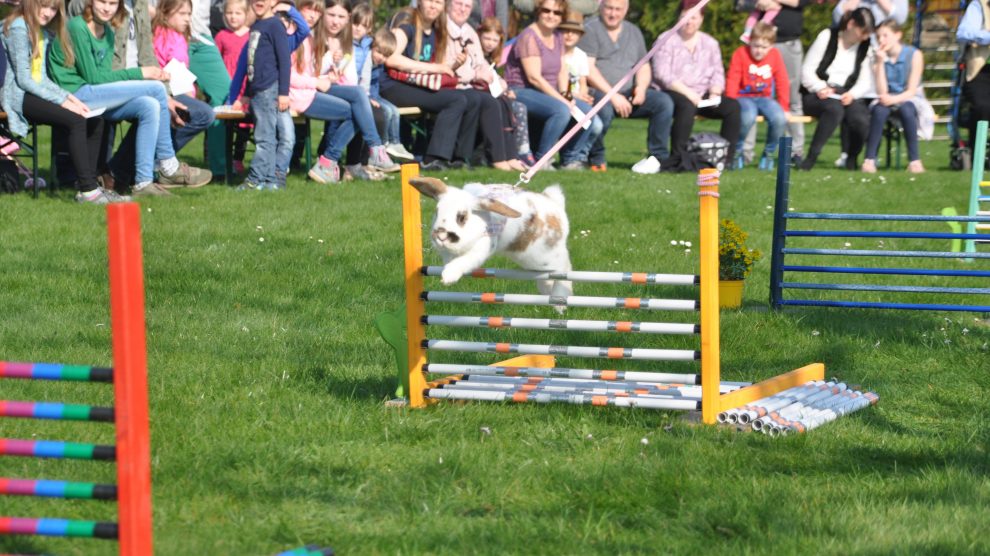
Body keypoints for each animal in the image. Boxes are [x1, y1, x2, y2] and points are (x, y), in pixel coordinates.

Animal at [408, 176, 572, 302]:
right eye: (437, 212)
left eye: (462, 217)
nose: (441, 235)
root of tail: (556, 206)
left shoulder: (482, 247)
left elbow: (463, 262)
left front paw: (448, 277)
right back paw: (548, 292)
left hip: (544, 257)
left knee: (564, 268)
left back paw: (560, 299)